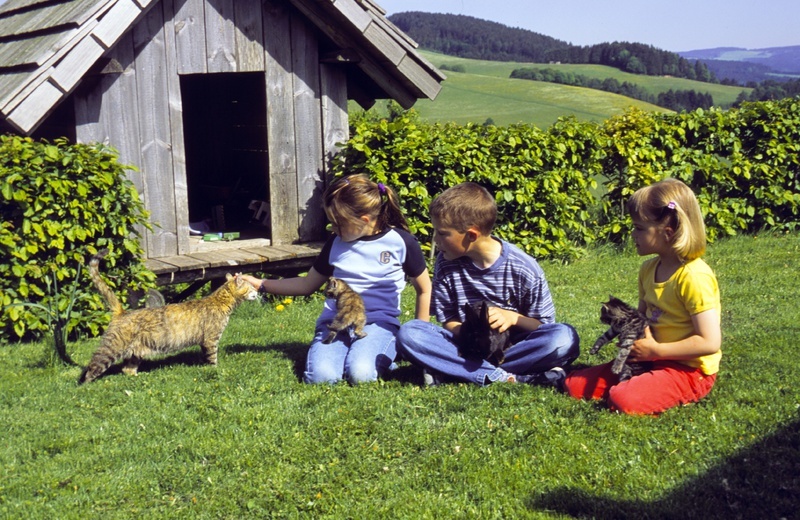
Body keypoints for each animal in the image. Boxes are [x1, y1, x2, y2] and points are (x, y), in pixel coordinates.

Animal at [78, 249, 258, 384]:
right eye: (251, 287)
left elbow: (205, 357)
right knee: (92, 367)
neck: (219, 301)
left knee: (126, 369)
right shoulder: (211, 339)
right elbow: (212, 358)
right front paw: (215, 369)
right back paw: (85, 385)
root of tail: (122, 312)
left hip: (136, 352)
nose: (257, 291)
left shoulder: (204, 342)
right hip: (111, 349)